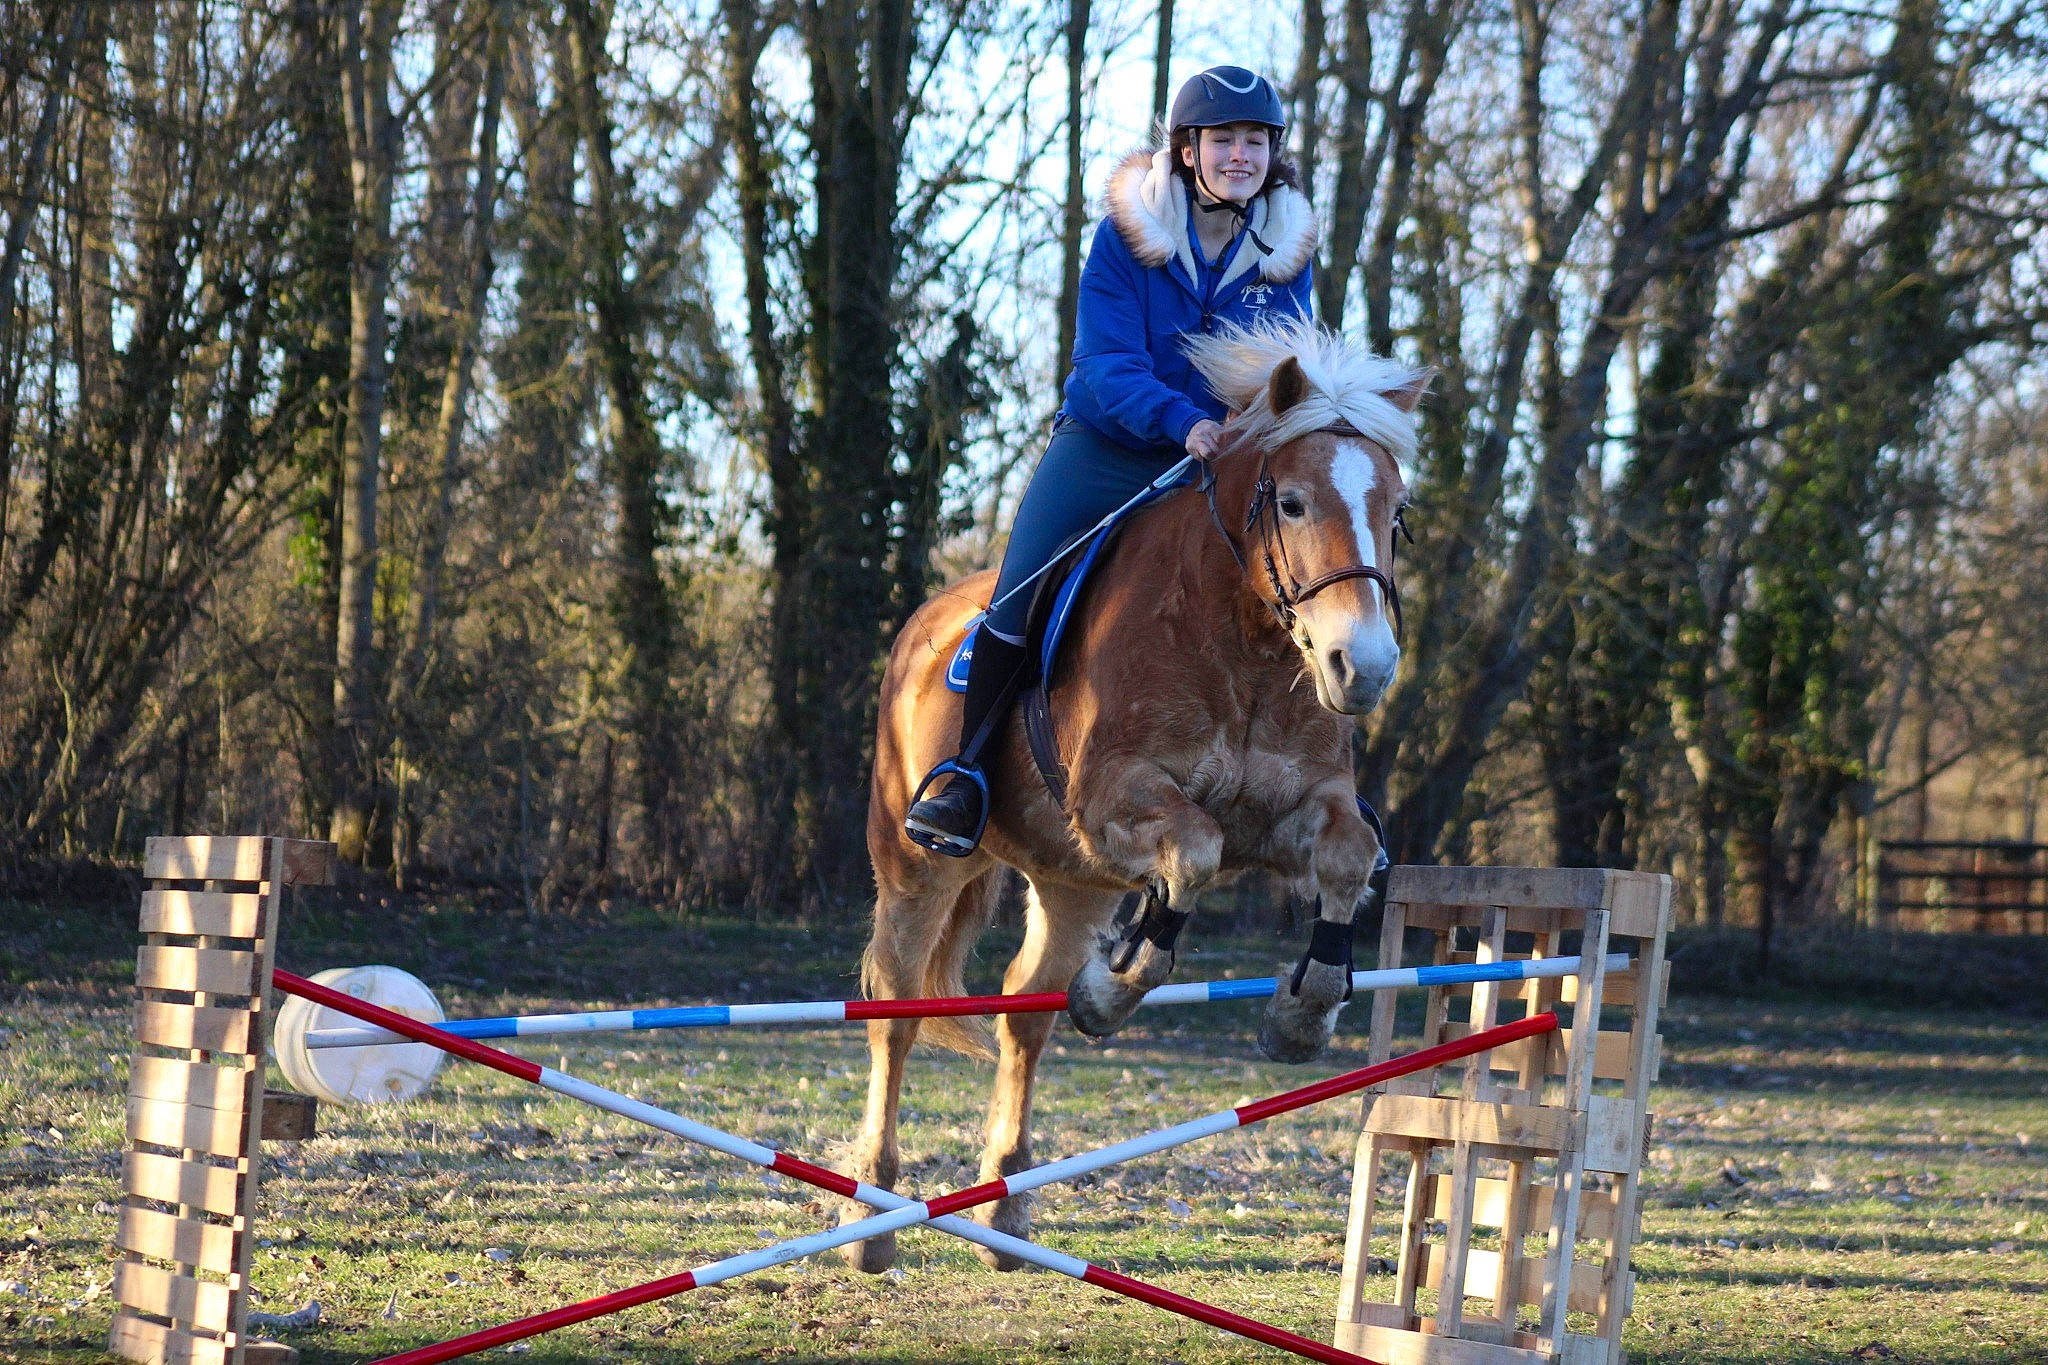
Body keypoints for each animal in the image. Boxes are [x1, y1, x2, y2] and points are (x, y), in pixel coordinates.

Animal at [838, 319, 1425, 1271]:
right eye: (1293, 503)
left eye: (1397, 511)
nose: (1362, 667)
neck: (1245, 642)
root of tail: (925, 622)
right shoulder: (1116, 793)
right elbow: (1195, 849)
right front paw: (1116, 988)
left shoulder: (1302, 805)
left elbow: (1346, 855)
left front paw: (1302, 1012)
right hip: (915, 858)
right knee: (895, 1006)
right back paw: (873, 1212)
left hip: (1070, 878)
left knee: (1024, 1009)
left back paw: (1007, 1207)